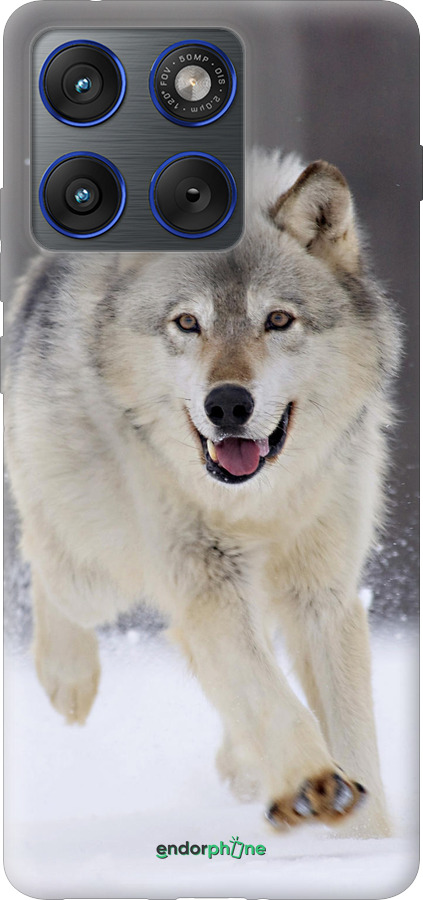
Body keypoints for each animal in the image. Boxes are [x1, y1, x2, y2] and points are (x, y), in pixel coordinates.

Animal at [5, 149, 400, 838]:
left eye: (278, 320)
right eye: (188, 322)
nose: (228, 405)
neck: (259, 503)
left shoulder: (322, 594)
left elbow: (350, 733)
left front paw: (365, 837)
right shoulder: (206, 580)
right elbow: (269, 696)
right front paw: (313, 784)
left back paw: (243, 766)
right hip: (97, 571)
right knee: (46, 565)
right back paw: (68, 680)